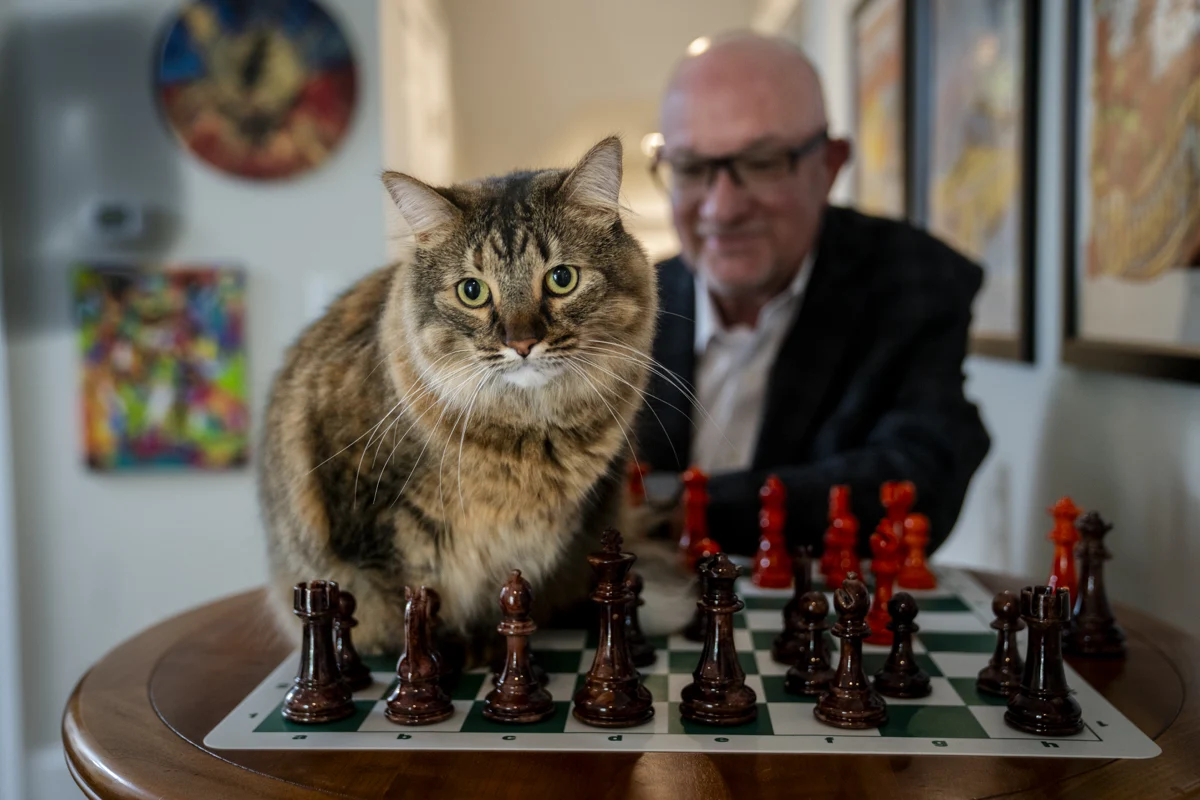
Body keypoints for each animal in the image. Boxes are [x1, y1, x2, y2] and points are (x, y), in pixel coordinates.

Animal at [256, 137, 662, 662]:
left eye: (562, 279)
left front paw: (492, 652)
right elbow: (412, 606)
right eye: (472, 291)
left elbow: (503, 598)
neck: (527, 439)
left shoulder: (528, 542)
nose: (522, 342)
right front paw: (440, 659)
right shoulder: (376, 525)